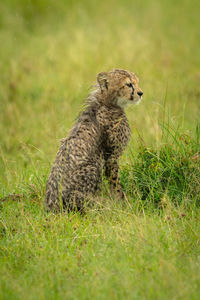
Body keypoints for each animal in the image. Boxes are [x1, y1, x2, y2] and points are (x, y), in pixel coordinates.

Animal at [45, 69, 142, 212]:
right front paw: (121, 202)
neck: (107, 102)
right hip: (94, 165)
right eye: (129, 84)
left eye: (137, 82)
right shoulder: (111, 157)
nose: (141, 93)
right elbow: (115, 182)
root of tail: (51, 206)